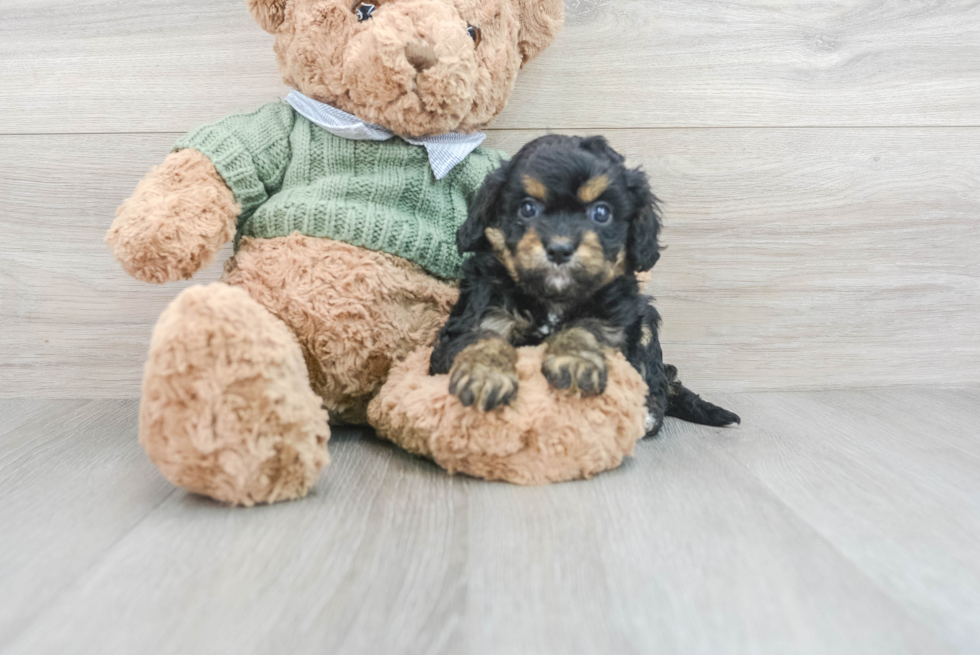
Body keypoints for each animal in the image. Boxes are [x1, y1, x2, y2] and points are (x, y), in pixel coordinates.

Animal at [424, 135, 740, 436]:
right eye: (527, 208)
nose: (560, 249)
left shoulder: (617, 313)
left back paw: (648, 413)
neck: (555, 297)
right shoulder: (479, 306)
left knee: (655, 379)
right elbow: (481, 334)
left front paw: (576, 361)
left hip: (647, 323)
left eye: (601, 213)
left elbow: (590, 326)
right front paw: (485, 375)